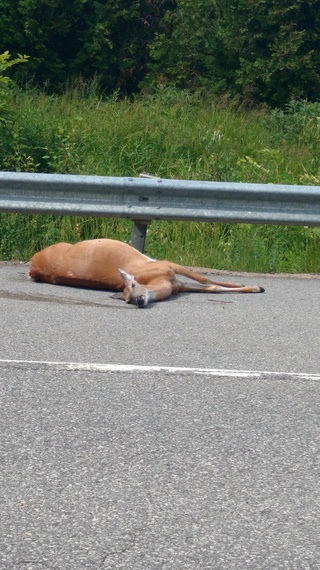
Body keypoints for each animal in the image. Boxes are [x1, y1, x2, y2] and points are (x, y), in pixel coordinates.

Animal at [29, 236, 264, 306]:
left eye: (133, 285)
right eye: (127, 300)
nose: (139, 300)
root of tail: (32, 264)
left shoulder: (171, 268)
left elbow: (207, 281)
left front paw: (250, 285)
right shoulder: (170, 272)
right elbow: (209, 284)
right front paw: (255, 286)